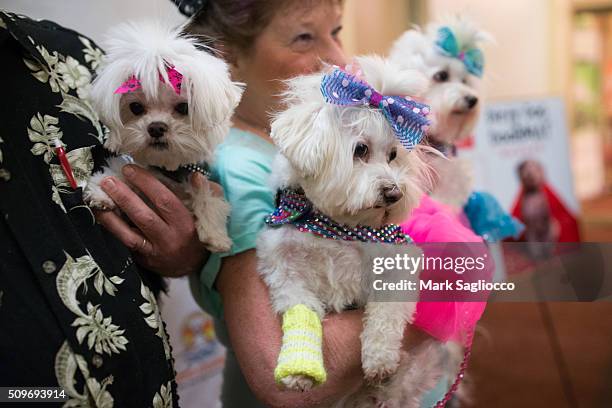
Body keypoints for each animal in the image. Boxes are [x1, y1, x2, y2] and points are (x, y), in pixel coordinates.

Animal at [85, 22, 241, 253]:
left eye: (184, 107)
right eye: (136, 107)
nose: (156, 127)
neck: (169, 170)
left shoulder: (202, 177)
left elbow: (208, 198)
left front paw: (215, 234)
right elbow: (117, 172)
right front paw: (102, 192)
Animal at [256, 55, 444, 406]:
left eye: (394, 155)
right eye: (360, 150)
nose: (394, 193)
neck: (338, 227)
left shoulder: (398, 261)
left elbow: (387, 311)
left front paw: (380, 357)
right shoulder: (286, 271)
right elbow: (301, 309)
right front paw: (299, 367)